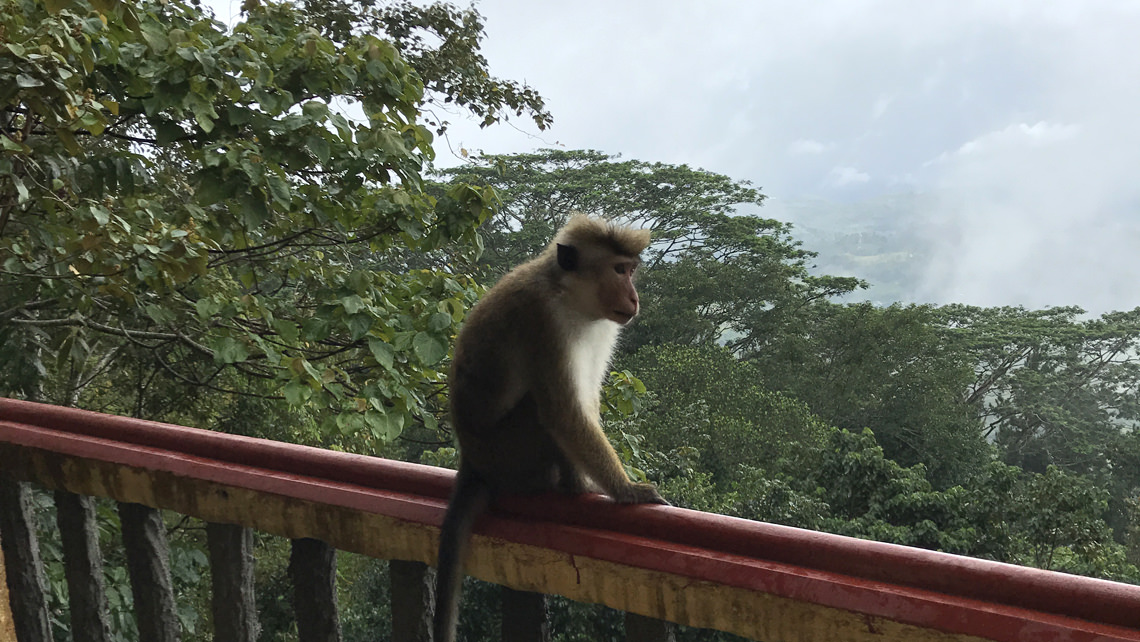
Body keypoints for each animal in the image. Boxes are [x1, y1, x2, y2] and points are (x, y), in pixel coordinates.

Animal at [433, 215, 665, 642]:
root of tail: (472, 462)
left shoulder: (602, 327)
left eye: (631, 270)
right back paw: (574, 487)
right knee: (538, 409)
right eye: (618, 270)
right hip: (510, 454)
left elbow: (585, 401)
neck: (570, 295)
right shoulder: (544, 322)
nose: (634, 297)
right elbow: (564, 412)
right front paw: (626, 490)